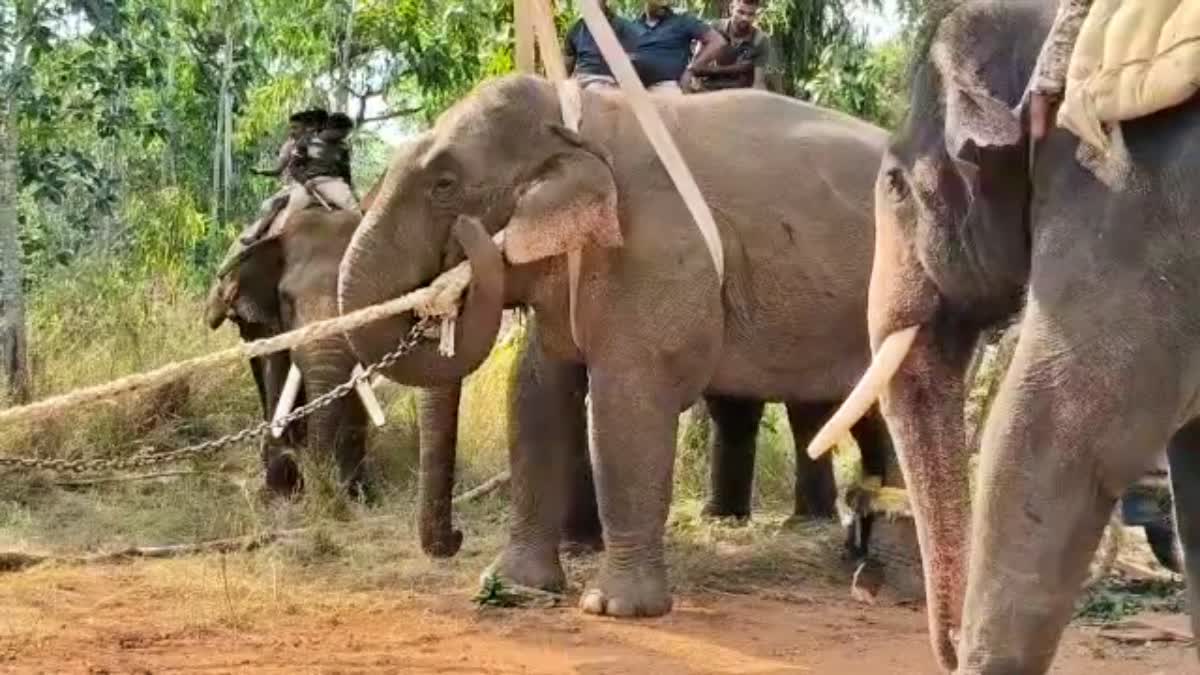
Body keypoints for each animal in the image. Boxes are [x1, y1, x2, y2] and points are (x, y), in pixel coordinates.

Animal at [338, 76, 892, 619]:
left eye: (444, 185)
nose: (454, 538)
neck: (580, 121)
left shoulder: (652, 250)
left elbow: (626, 398)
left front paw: (614, 607)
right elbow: (535, 393)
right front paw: (511, 587)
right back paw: (865, 557)